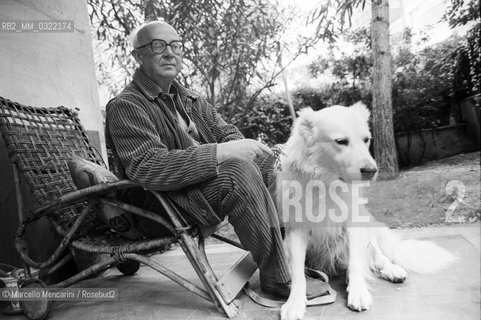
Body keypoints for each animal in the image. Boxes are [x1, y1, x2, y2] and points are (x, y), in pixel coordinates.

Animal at [276, 102, 456, 320]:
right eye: (341, 141)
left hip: (366, 230)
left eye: (366, 139)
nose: (372, 171)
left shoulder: (353, 225)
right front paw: (294, 302)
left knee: (376, 256)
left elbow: (356, 262)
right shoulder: (296, 231)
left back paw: (391, 270)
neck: (326, 183)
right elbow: (297, 273)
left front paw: (358, 292)